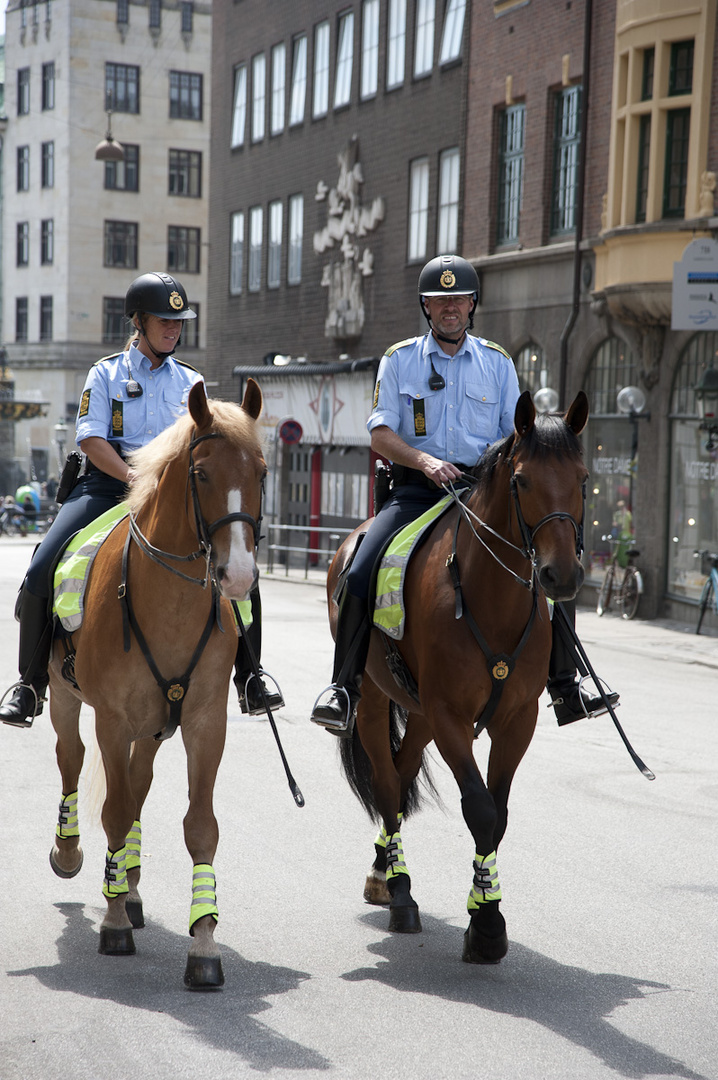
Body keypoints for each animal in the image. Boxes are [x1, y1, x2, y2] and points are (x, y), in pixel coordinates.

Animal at [46, 378, 267, 989]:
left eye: (263, 472)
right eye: (203, 475)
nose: (239, 575)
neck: (167, 601)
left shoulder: (204, 722)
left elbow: (199, 826)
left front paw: (204, 943)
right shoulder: (112, 719)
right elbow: (114, 811)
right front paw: (114, 921)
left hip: (152, 725)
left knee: (138, 784)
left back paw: (131, 882)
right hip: (65, 699)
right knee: (71, 759)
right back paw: (74, 857)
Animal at [330, 393, 587, 967]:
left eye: (584, 478)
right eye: (521, 481)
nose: (561, 576)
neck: (488, 598)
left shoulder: (516, 720)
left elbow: (500, 812)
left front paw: (482, 909)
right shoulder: (450, 715)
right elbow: (481, 809)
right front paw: (487, 924)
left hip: (419, 710)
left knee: (401, 776)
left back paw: (384, 871)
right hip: (377, 699)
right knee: (387, 783)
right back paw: (400, 893)